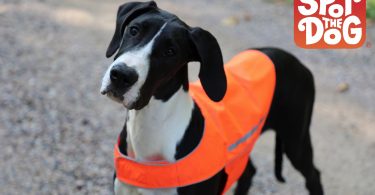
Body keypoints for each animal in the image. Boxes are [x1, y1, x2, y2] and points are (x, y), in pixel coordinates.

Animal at [100, 1, 324, 195]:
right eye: (134, 30)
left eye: (170, 52)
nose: (121, 75)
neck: (151, 123)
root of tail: (298, 62)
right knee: (249, 171)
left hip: (295, 140)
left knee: (313, 174)